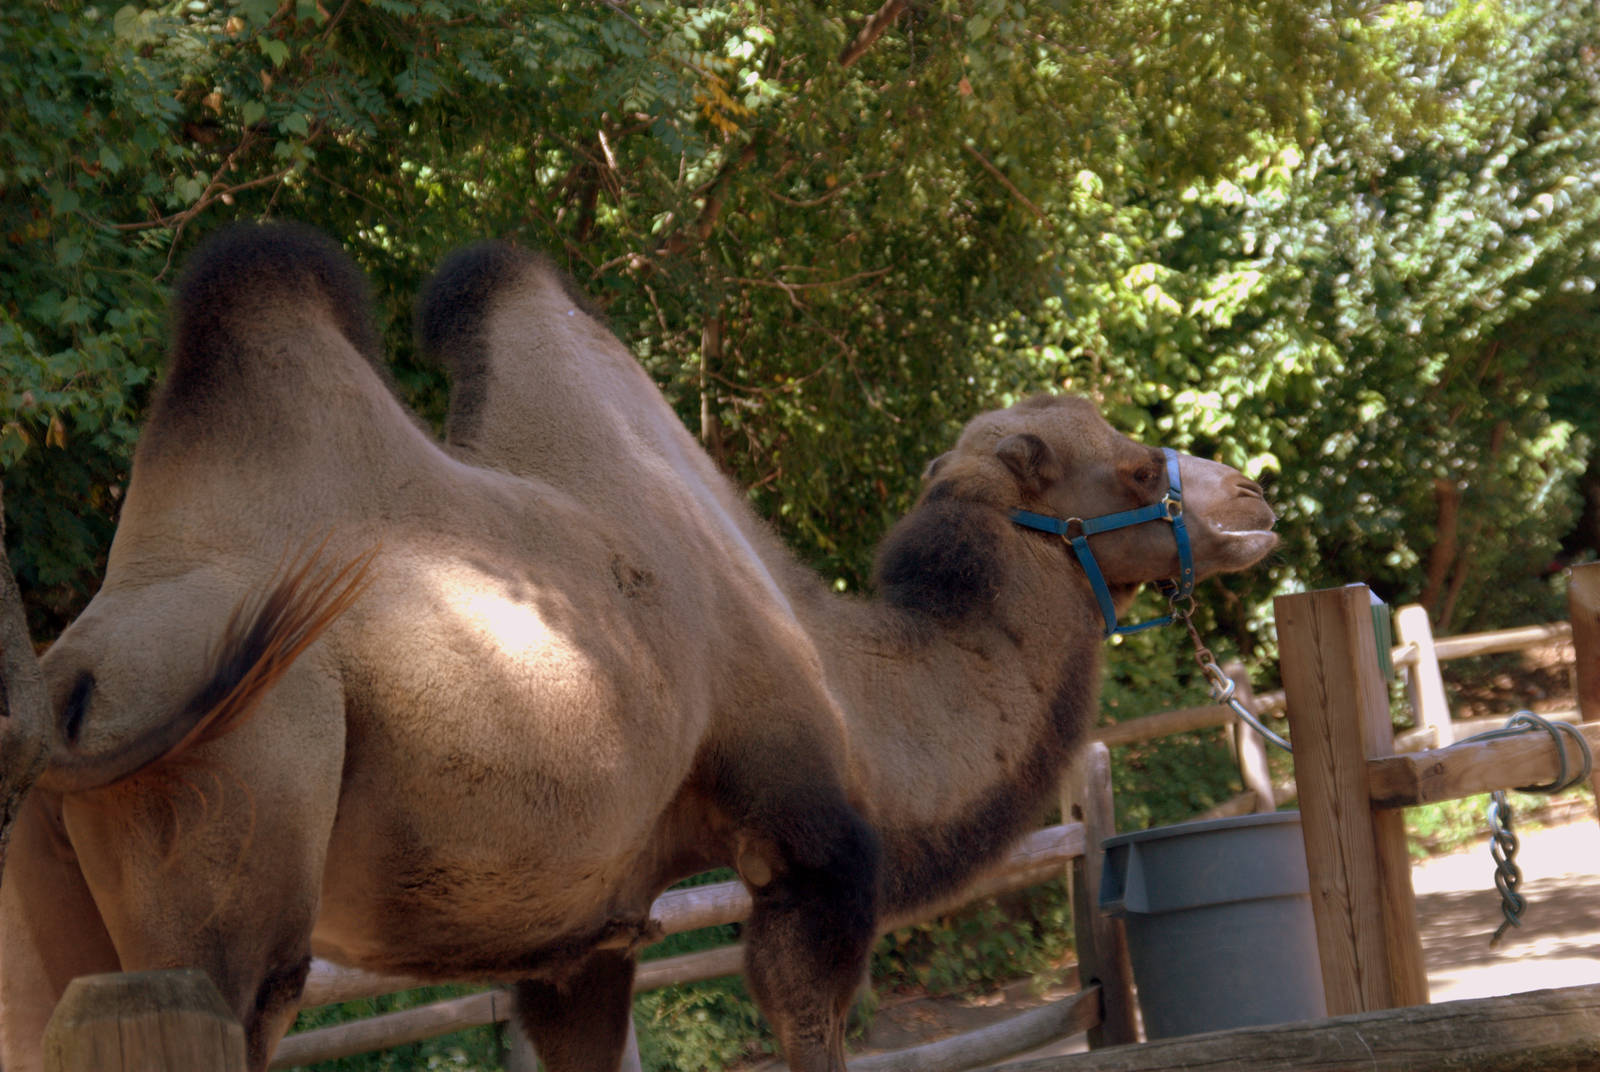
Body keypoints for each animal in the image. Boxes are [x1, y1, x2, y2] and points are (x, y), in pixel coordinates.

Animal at [0, 222, 1277, 1072]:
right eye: (1126, 465)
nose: (1253, 498)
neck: (856, 691)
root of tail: (67, 700)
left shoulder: (575, 942)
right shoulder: (812, 857)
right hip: (253, 804)